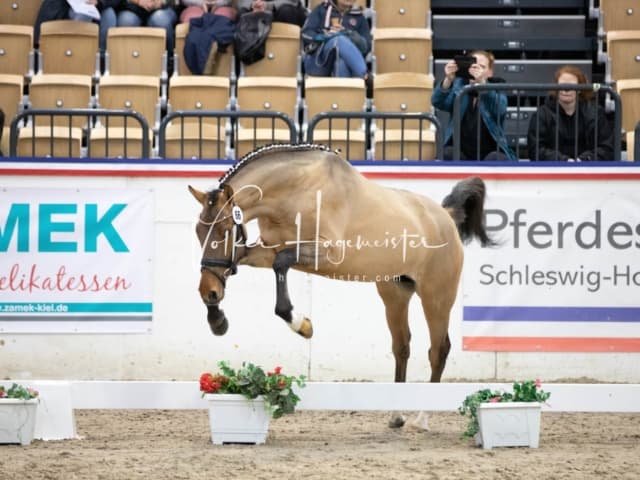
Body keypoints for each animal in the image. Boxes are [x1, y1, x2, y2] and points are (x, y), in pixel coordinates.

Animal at [188, 142, 492, 428]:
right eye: (199, 231)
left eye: (225, 229)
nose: (209, 291)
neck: (297, 191)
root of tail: (444, 215)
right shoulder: (268, 250)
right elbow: (245, 260)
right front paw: (217, 318)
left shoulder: (326, 253)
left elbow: (280, 266)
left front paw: (302, 325)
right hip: (394, 293)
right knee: (402, 346)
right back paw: (396, 415)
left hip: (436, 296)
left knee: (438, 350)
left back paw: (422, 417)